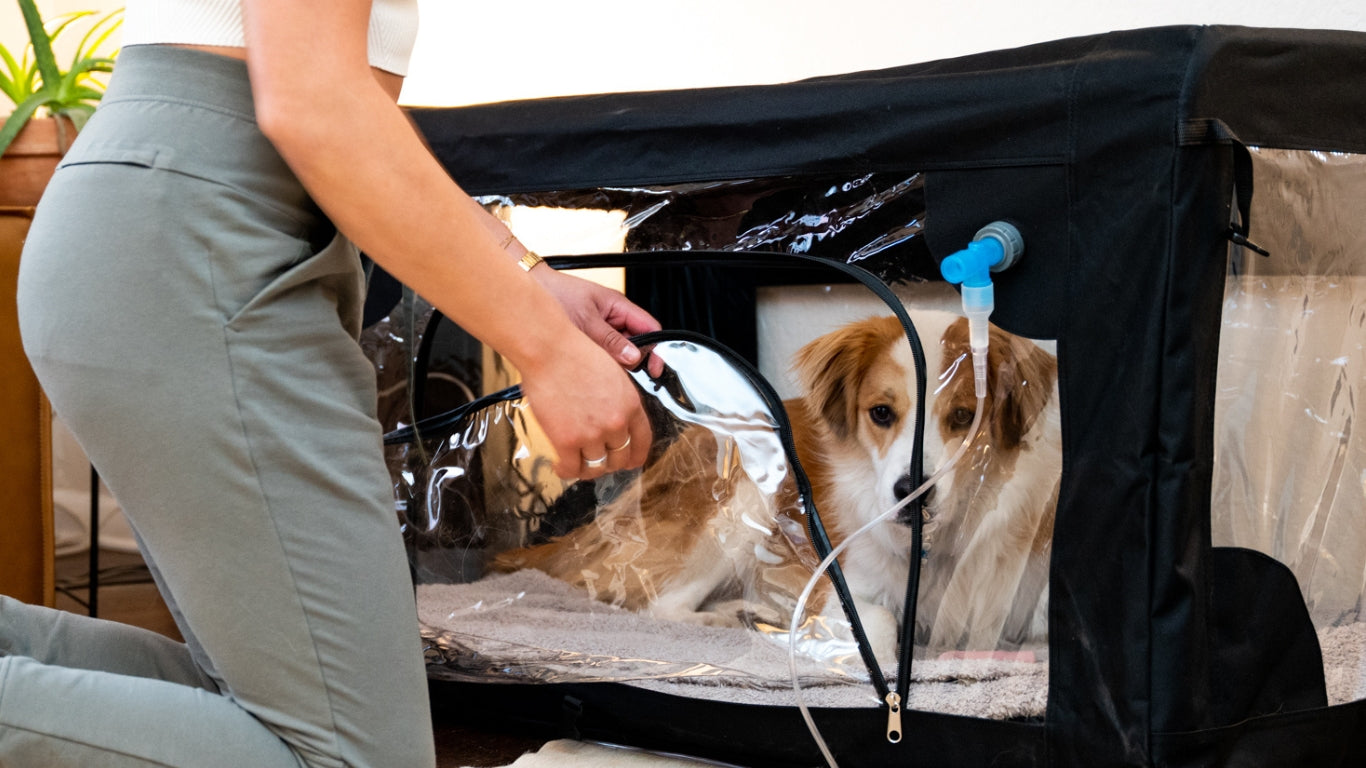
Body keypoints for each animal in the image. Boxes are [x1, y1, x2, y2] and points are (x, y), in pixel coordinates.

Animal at [489, 308, 1054, 658]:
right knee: (657, 605)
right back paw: (733, 619)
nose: (909, 492)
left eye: (963, 417)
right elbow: (881, 624)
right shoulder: (838, 585)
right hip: (743, 501)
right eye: (881, 412)